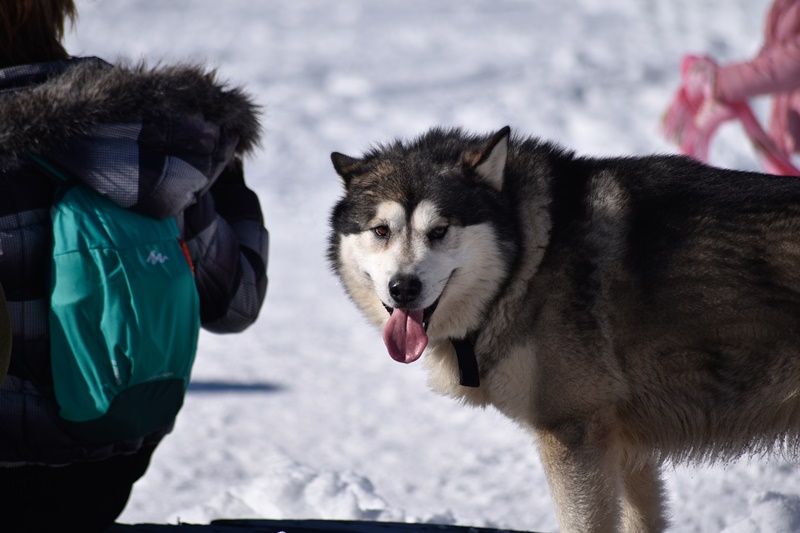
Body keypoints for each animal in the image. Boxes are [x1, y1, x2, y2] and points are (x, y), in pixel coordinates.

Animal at [326, 127, 800, 528]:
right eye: (381, 231)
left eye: (440, 230)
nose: (403, 287)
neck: (530, 258)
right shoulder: (624, 446)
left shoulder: (575, 434)